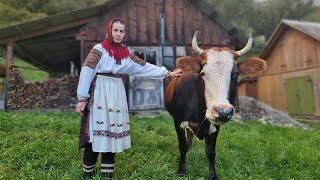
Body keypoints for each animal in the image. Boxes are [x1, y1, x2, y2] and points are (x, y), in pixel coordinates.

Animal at [164, 31, 266, 180]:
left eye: (235, 73)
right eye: (202, 73)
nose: (223, 112)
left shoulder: (215, 126)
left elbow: (211, 152)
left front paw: (213, 175)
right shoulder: (177, 121)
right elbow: (182, 147)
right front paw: (181, 170)